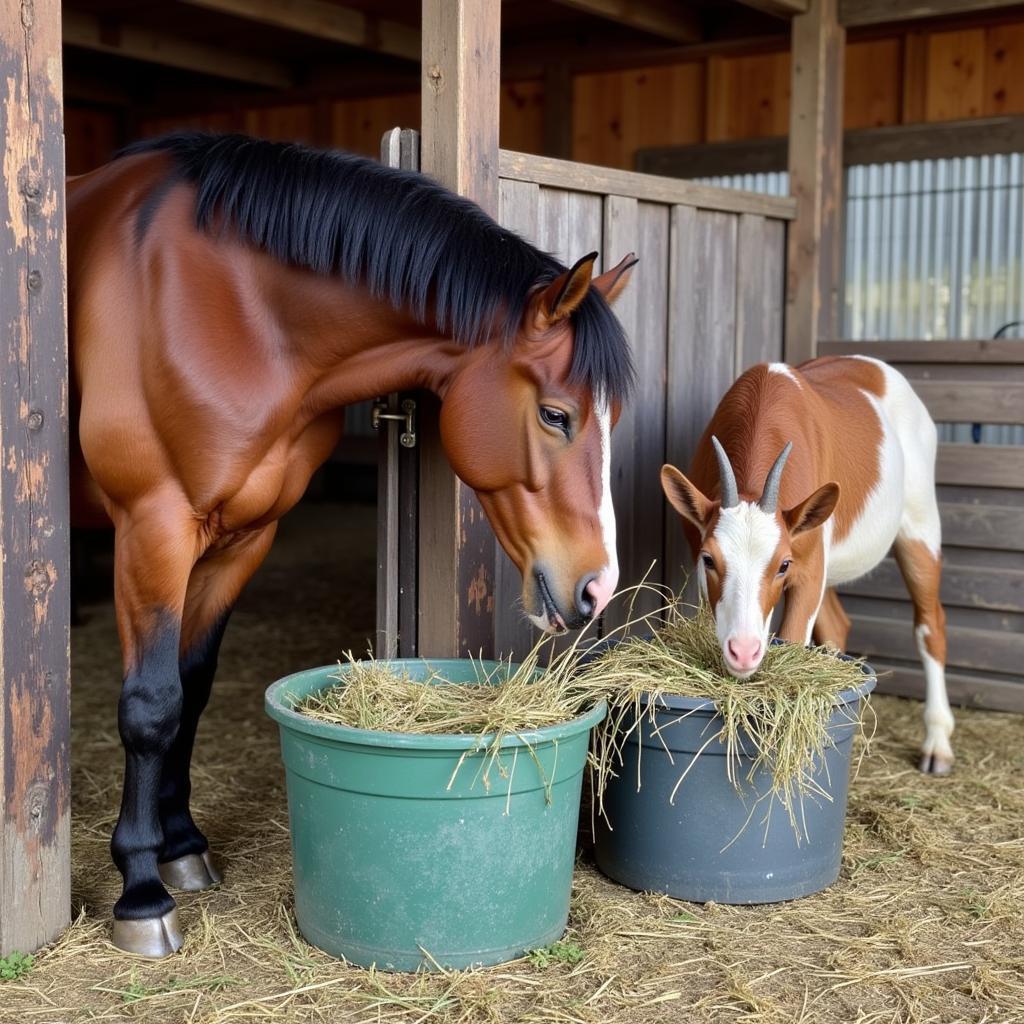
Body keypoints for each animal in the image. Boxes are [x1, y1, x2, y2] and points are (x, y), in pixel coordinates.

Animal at [66, 132, 630, 954]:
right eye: (556, 415)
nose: (598, 586)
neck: (229, 305)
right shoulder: (154, 527)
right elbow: (150, 706)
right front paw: (141, 891)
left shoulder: (241, 538)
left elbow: (191, 690)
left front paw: (183, 849)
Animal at [659, 360, 954, 774]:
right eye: (709, 559)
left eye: (783, 564)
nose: (745, 652)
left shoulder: (809, 562)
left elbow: (795, 634)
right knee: (837, 623)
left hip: (920, 523)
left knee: (931, 623)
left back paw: (938, 745)